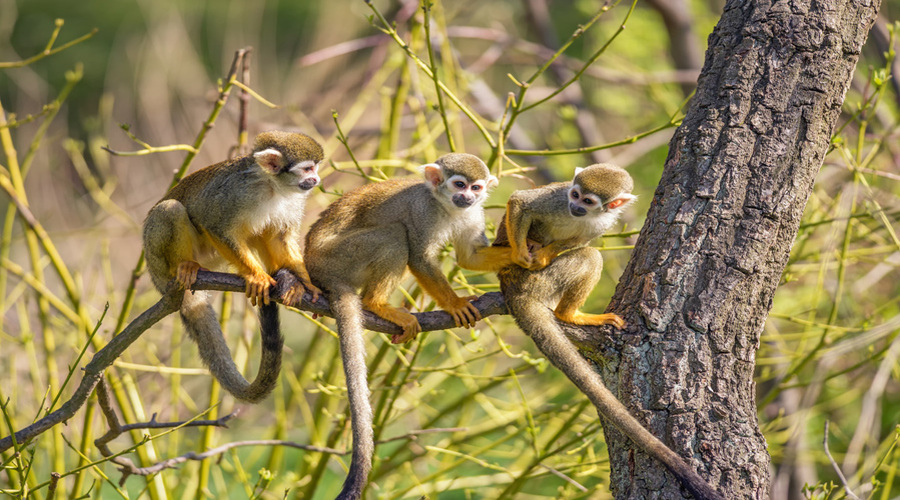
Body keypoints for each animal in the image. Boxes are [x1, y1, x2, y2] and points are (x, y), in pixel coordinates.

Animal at [146, 131, 328, 404]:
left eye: (315, 167)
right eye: (308, 168)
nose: (315, 179)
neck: (272, 187)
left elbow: (279, 237)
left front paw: (307, 283)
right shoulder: (235, 193)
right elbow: (214, 225)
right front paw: (257, 276)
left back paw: (289, 281)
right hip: (156, 256)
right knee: (171, 209)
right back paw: (185, 266)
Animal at [304, 153, 510, 500]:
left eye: (476, 187)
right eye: (459, 184)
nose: (467, 197)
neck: (446, 207)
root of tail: (315, 269)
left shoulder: (473, 215)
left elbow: (471, 256)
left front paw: (527, 255)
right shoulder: (422, 212)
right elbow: (420, 258)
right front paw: (454, 304)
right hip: (339, 259)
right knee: (394, 234)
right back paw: (376, 303)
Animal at [492, 165, 724, 500]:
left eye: (588, 201)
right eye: (575, 195)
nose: (575, 206)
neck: (579, 214)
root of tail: (510, 287)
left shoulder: (603, 221)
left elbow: (579, 239)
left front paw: (546, 252)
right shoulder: (557, 197)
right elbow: (520, 202)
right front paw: (524, 254)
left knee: (586, 251)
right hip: (536, 282)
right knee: (590, 256)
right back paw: (566, 310)